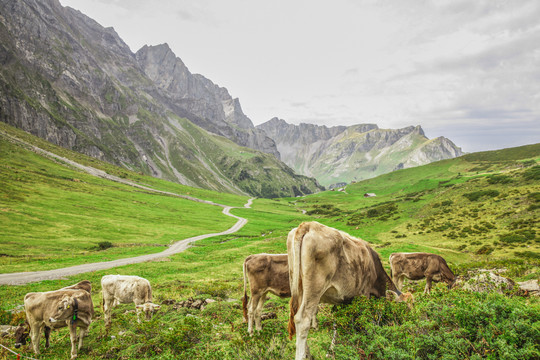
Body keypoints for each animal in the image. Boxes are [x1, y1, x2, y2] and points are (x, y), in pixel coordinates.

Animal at [286, 221, 414, 358]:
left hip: (297, 284)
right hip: (314, 288)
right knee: (303, 320)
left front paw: (332, 350)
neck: (374, 267)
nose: (408, 322)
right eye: (404, 307)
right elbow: (363, 320)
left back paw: (308, 354)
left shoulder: (342, 299)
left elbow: (338, 323)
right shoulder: (364, 294)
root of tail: (309, 225)